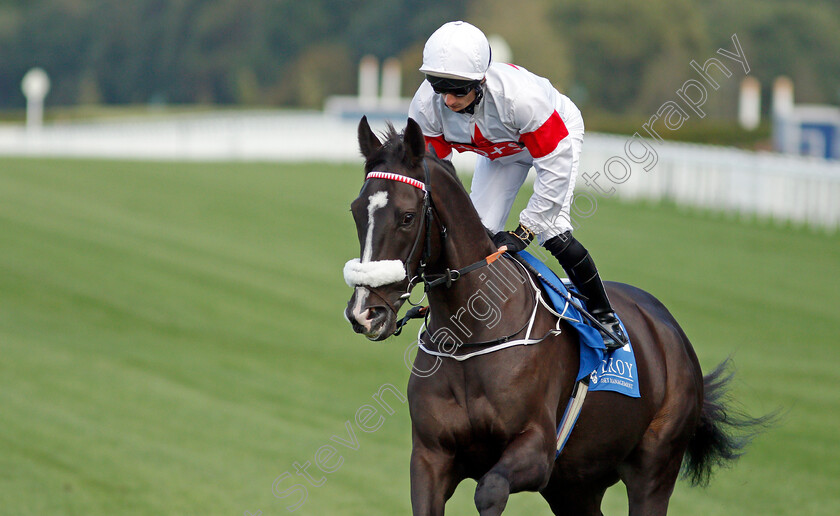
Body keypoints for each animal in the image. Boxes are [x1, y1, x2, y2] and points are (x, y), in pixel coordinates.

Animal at [342, 118, 768, 516]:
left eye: (407, 217)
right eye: (356, 212)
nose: (365, 312)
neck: (472, 335)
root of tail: (670, 331)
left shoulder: (537, 451)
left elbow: (490, 490)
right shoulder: (431, 457)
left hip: (655, 467)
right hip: (575, 483)